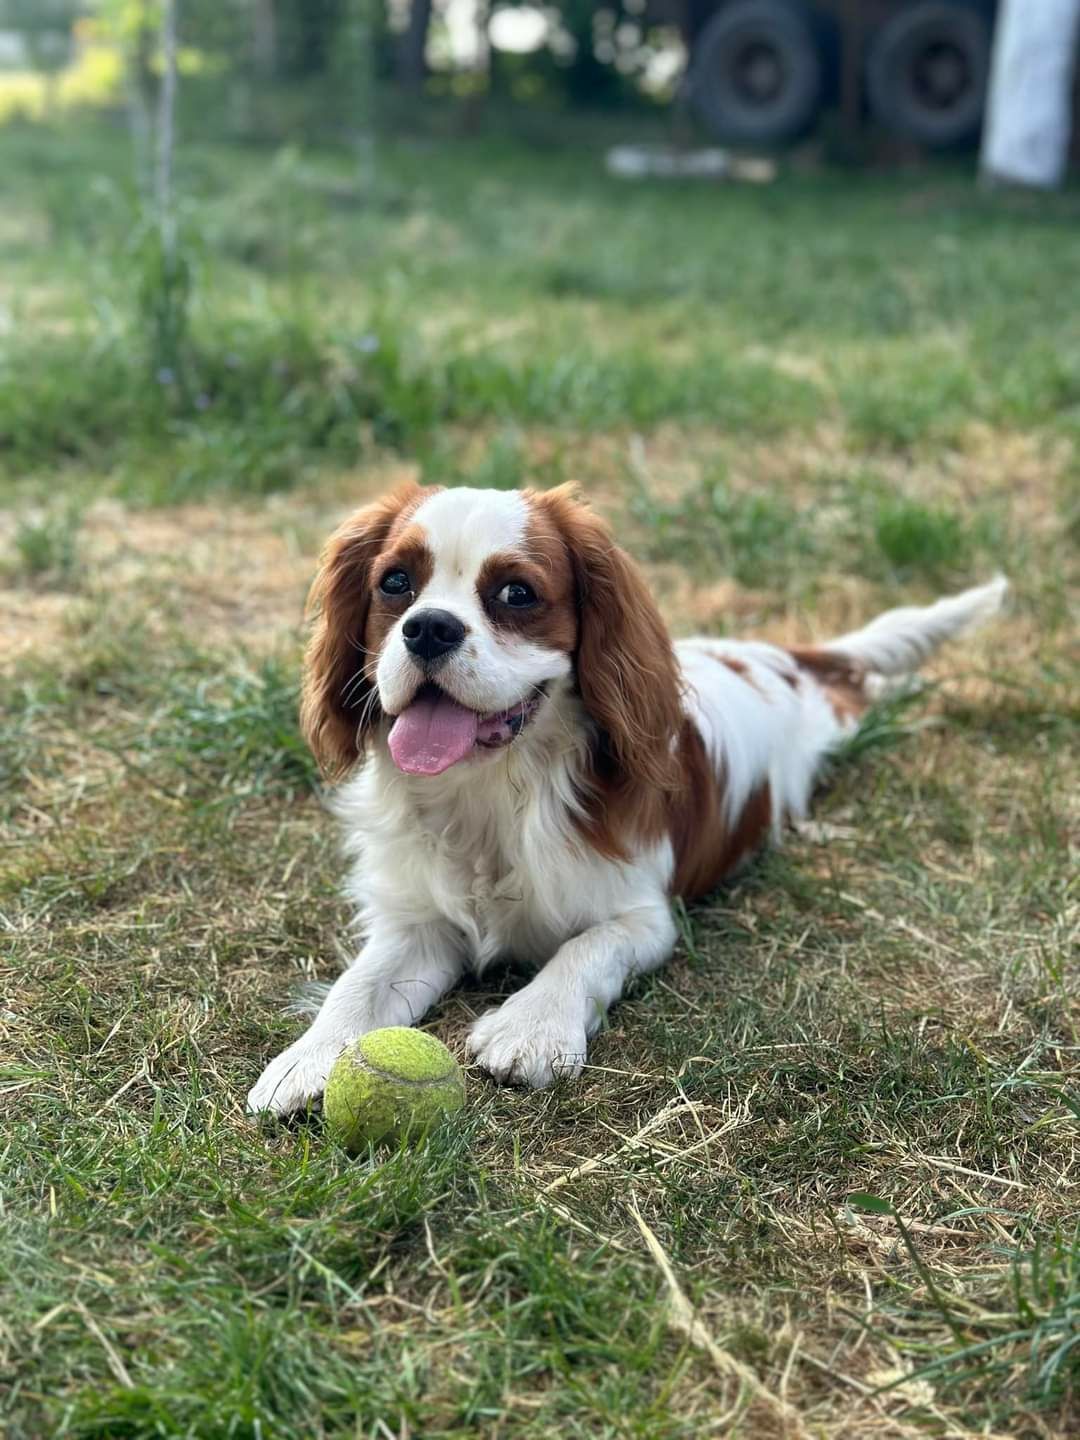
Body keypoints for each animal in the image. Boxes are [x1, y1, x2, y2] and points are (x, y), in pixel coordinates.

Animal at [244, 483, 1008, 1111]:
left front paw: (531, 1026)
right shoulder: (419, 923)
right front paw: (311, 1056)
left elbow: (586, 951)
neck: (494, 790)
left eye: (517, 593)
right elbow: (360, 982)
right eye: (395, 583)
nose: (429, 627)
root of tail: (782, 659)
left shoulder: (645, 918)